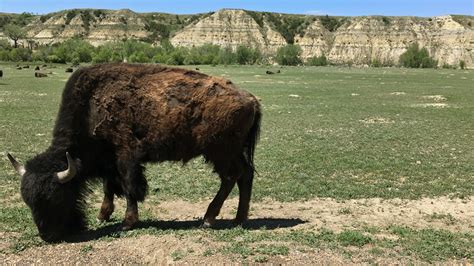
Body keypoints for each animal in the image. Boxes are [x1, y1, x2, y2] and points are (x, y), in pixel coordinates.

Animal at [7, 63, 262, 242]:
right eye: (28, 201)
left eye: (56, 196)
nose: (47, 236)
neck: (90, 107)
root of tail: (252, 99)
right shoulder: (109, 161)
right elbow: (110, 187)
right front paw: (103, 215)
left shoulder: (126, 157)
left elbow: (130, 188)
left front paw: (127, 222)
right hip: (231, 152)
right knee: (245, 175)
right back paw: (239, 219)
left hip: (220, 152)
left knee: (232, 177)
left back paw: (209, 219)